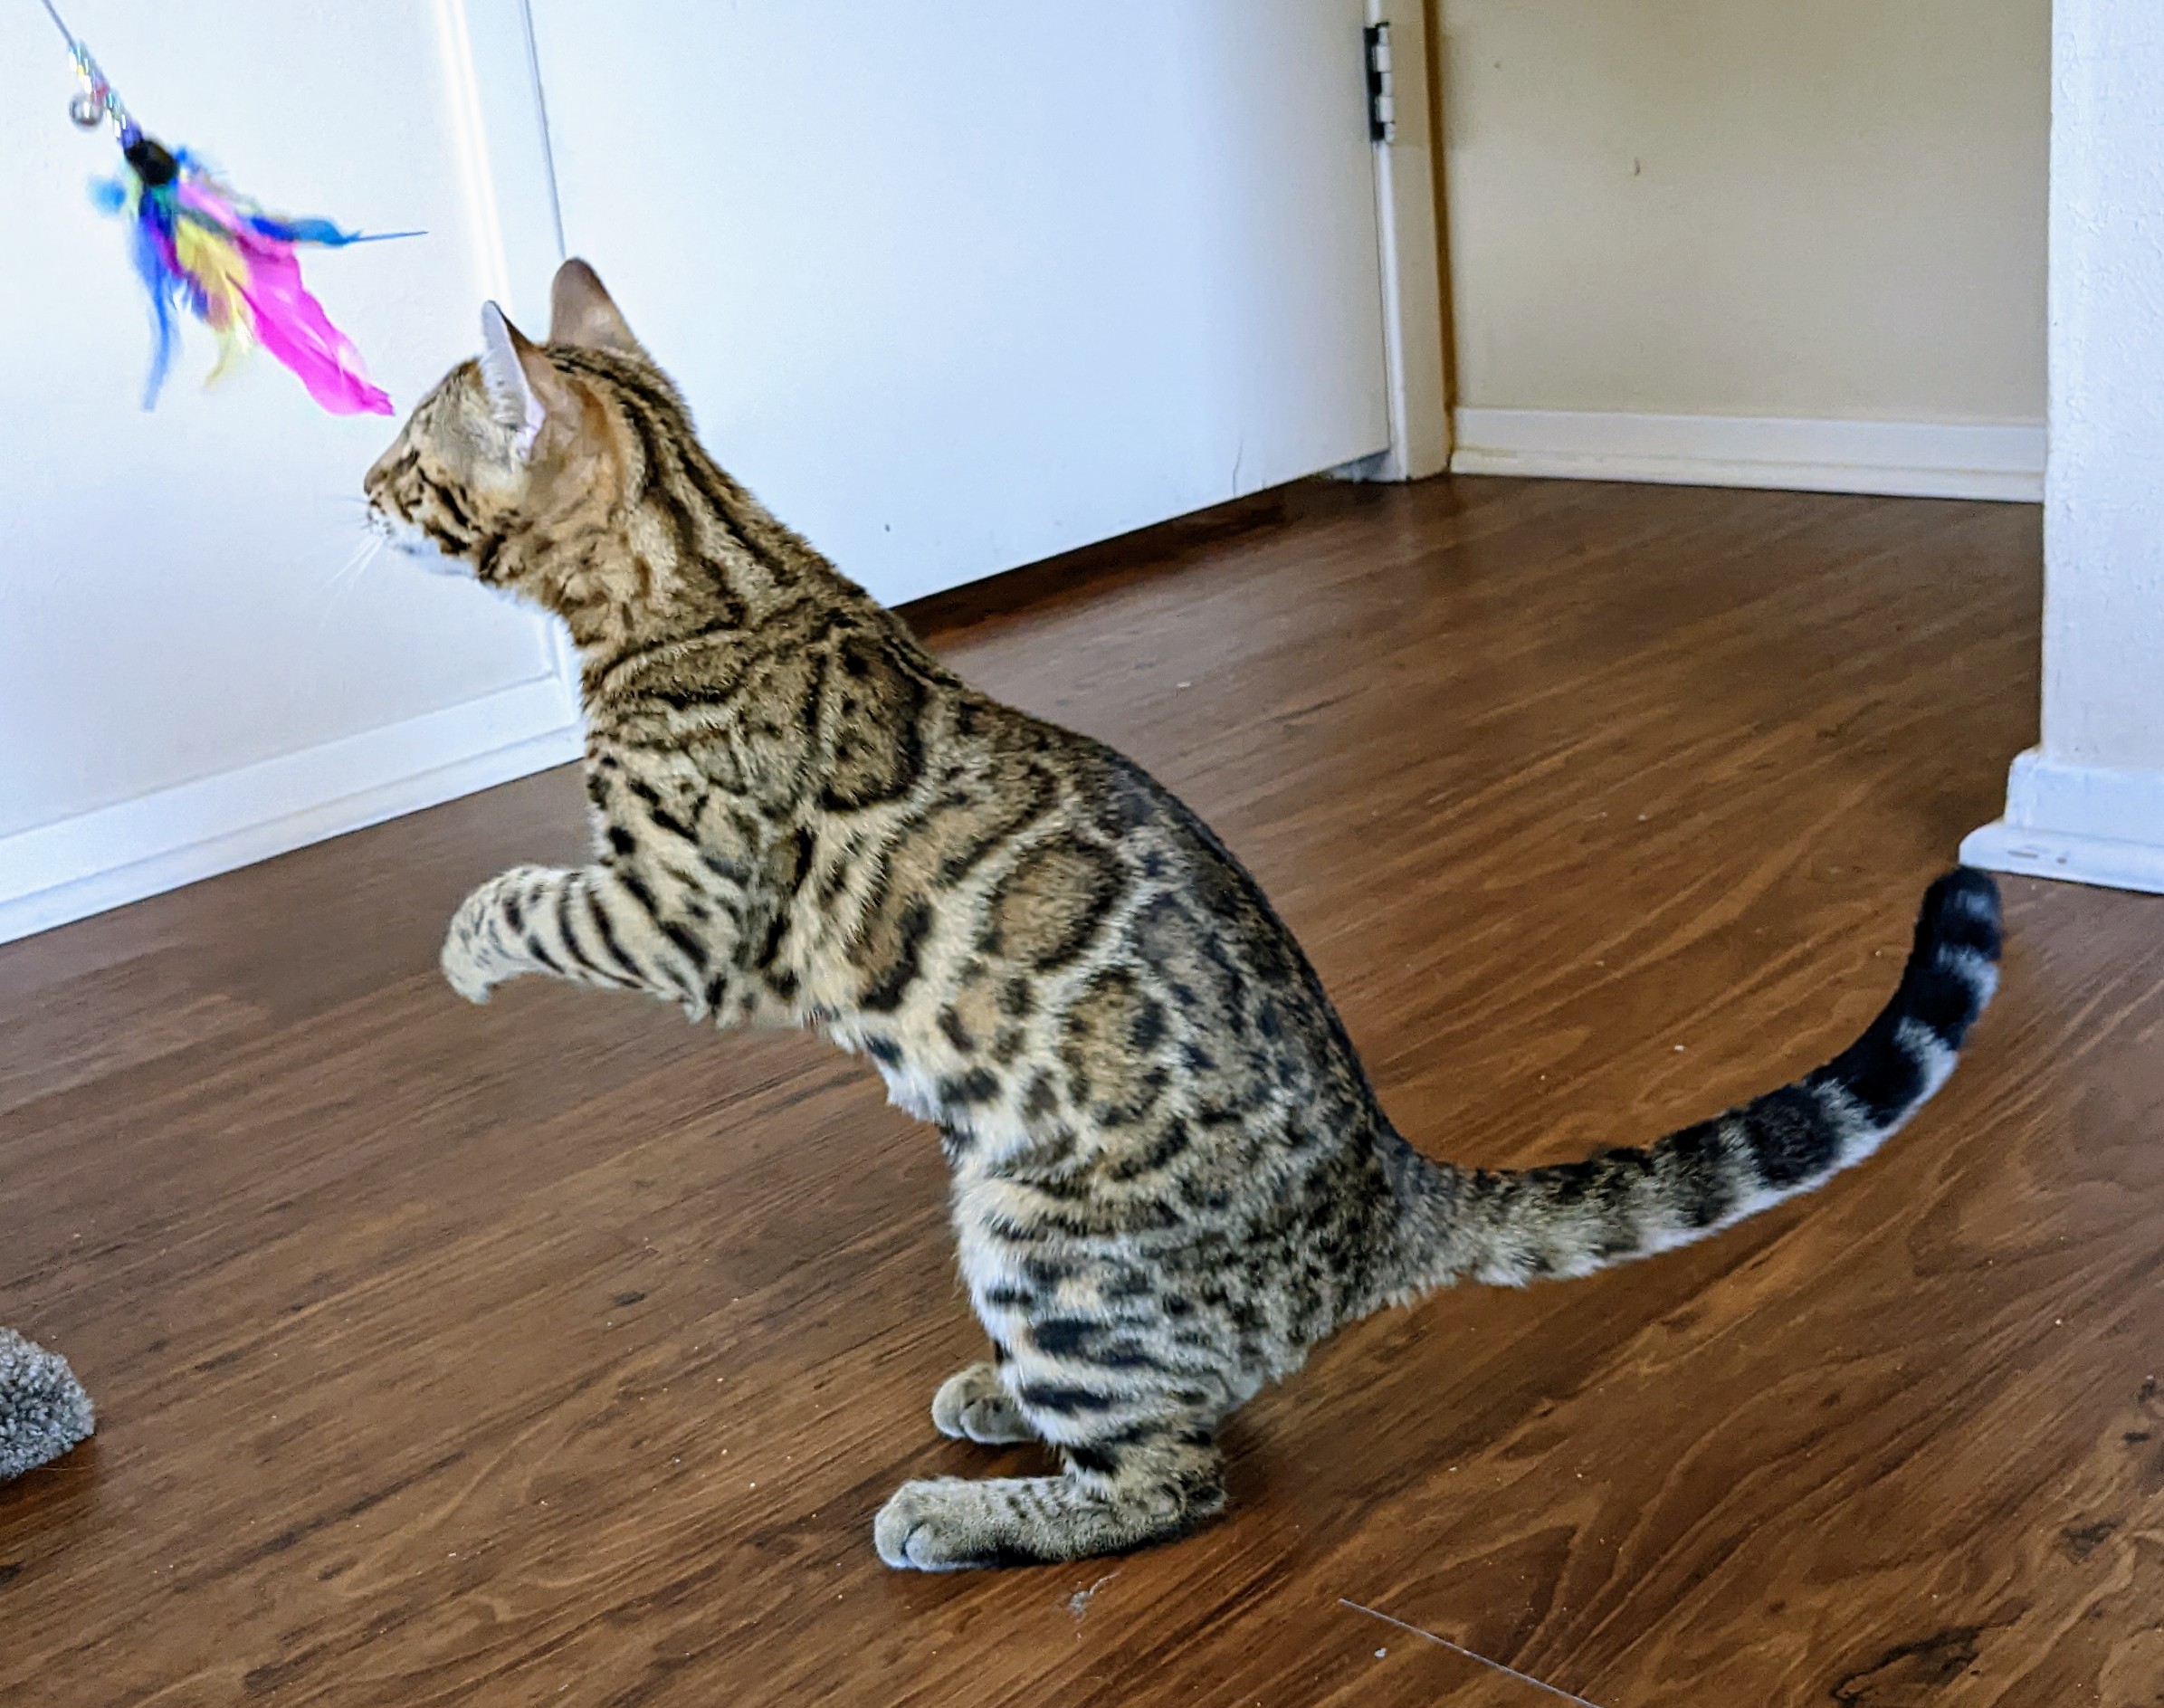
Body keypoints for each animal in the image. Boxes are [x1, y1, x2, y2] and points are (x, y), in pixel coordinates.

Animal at [363, 259, 2002, 1572]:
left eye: (410, 454)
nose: (360, 490)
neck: (706, 568)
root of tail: (1389, 1196)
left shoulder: (681, 912)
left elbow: (526, 895)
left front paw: (461, 946)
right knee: (1183, 1421)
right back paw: (992, 1403)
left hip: (1037, 1237)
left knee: (1170, 1480)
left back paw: (957, 1511)